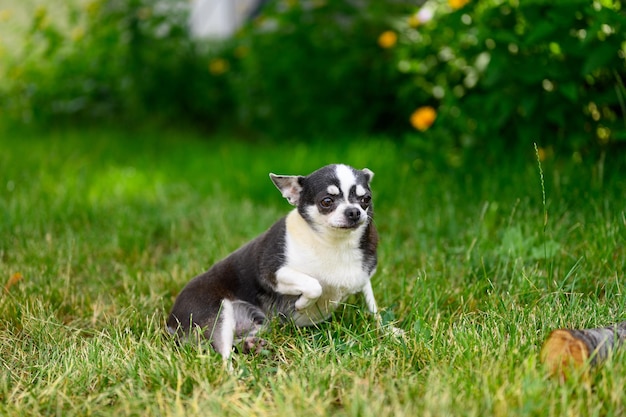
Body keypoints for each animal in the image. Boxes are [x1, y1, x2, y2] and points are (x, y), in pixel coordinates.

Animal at [166, 164, 390, 360]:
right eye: (326, 201)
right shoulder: (272, 273)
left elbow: (373, 308)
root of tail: (170, 320)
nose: (354, 211)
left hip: (257, 324)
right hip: (218, 316)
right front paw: (302, 304)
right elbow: (314, 285)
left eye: (366, 199)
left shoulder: (363, 276)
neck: (334, 244)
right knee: (223, 354)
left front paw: (390, 331)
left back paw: (250, 346)